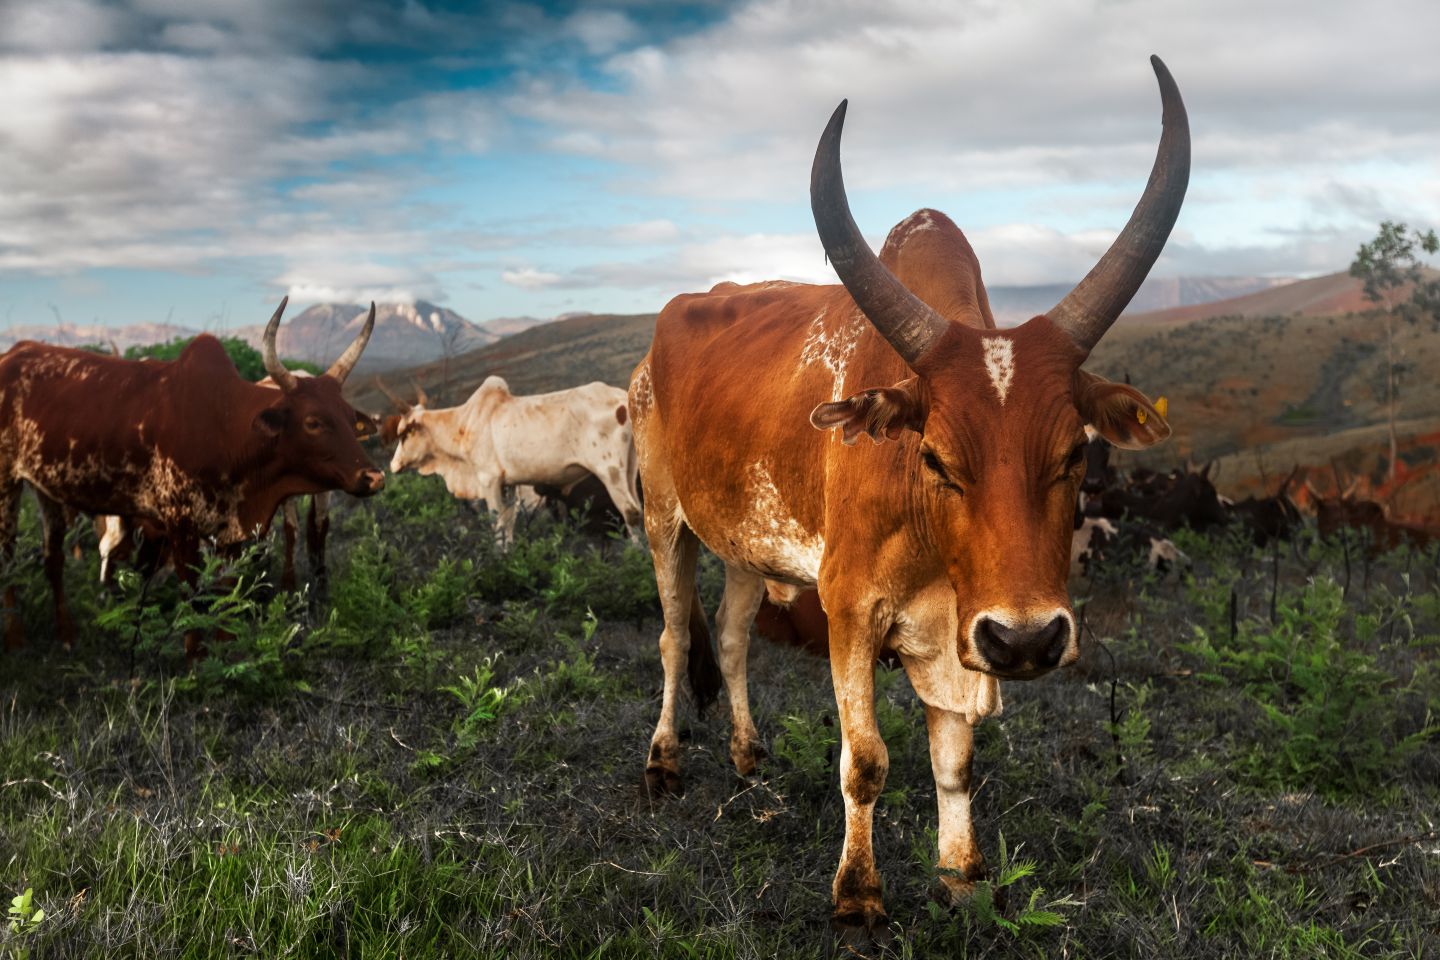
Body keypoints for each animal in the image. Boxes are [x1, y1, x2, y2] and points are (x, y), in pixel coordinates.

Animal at [0, 298, 384, 655]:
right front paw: (195, 660)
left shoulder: (231, 532)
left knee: (53, 558)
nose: (374, 476)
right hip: (7, 482)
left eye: (351, 418)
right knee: (8, 556)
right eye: (313, 422)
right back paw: (16, 638)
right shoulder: (179, 526)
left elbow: (226, 595)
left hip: (46, 487)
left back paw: (66, 633)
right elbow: (193, 597)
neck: (227, 429)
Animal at [387, 376, 643, 542]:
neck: (463, 424)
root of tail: (624, 398)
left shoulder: (489, 481)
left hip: (611, 473)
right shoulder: (508, 485)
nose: (393, 465)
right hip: (631, 470)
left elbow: (498, 527)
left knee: (631, 514)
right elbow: (508, 526)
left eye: (403, 434)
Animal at [628, 57, 1187, 934]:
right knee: (672, 636)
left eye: (1075, 454)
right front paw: (857, 894)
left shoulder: (955, 634)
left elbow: (953, 761)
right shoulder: (850, 606)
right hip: (663, 519)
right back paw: (663, 761)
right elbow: (866, 761)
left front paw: (962, 874)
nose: (1026, 640)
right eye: (933, 456)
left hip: (748, 543)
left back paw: (748, 753)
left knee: (729, 636)